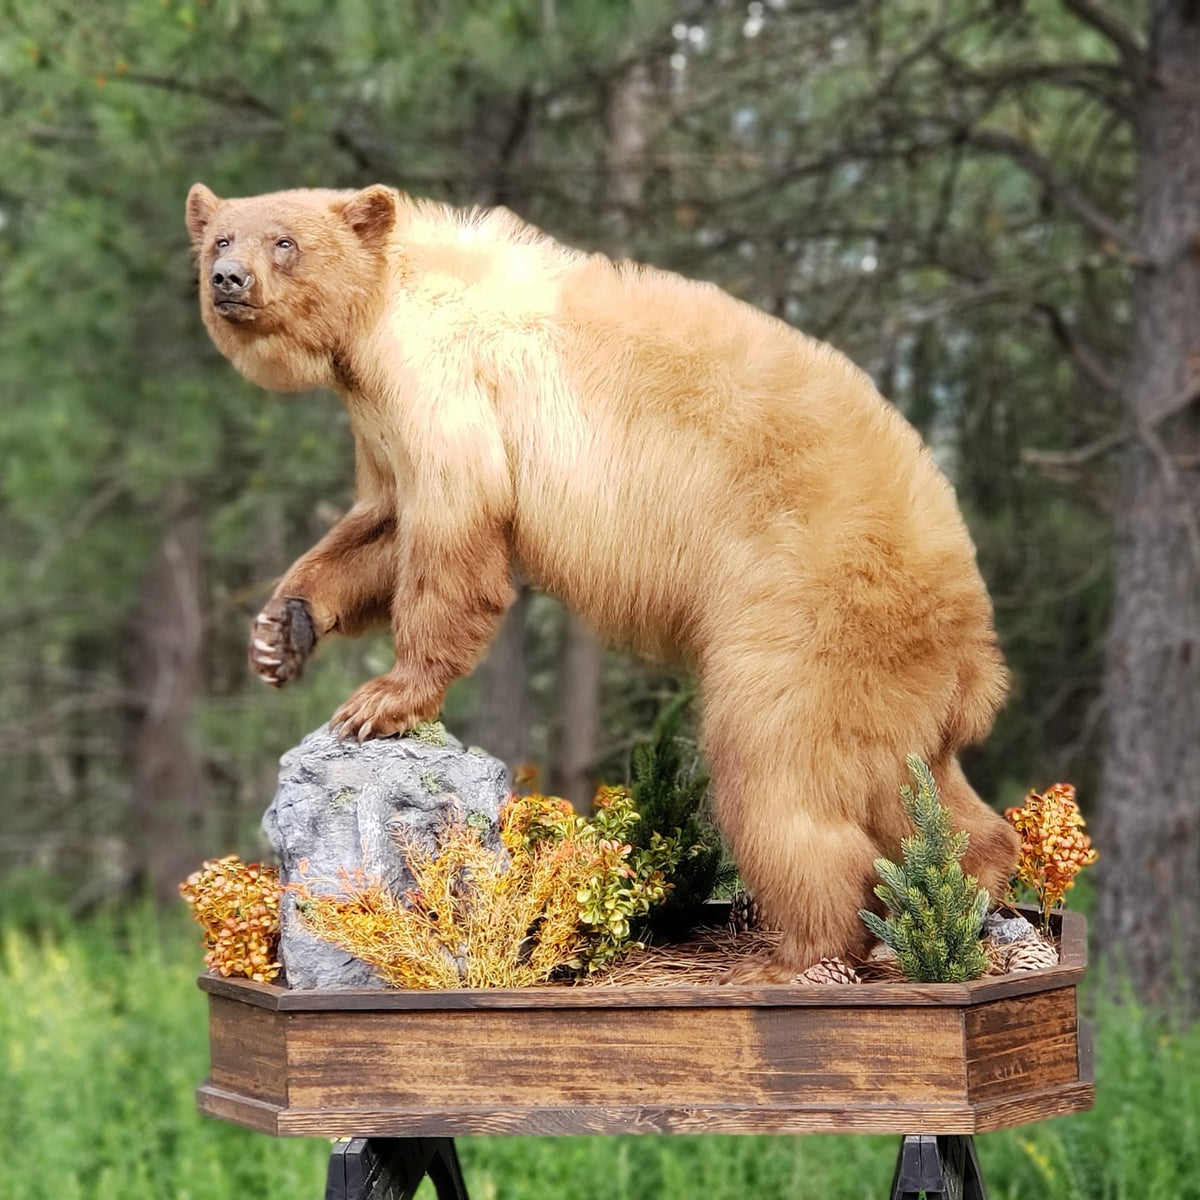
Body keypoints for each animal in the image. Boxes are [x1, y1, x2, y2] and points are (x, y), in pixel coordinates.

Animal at [186, 182, 1019, 978]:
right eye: (222, 237)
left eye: (284, 241)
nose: (229, 278)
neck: (383, 310)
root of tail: (973, 639)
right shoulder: (382, 420)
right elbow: (380, 525)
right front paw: (280, 632)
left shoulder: (440, 387)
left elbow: (452, 537)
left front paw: (382, 699)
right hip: (888, 681)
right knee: (913, 785)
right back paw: (974, 880)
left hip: (810, 607)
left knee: (782, 771)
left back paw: (803, 954)